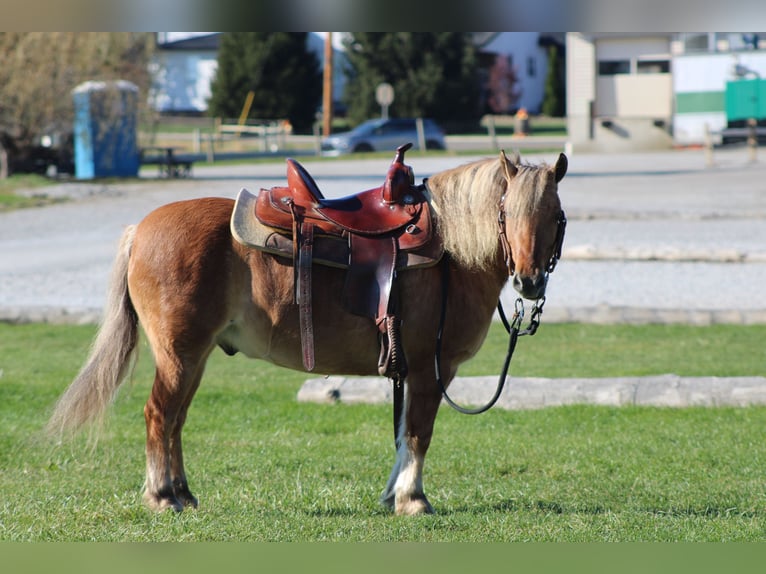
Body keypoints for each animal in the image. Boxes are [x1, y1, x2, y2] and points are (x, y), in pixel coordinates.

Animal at [47, 150, 567, 516]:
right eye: (508, 214)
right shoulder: (428, 371)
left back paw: (183, 493)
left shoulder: (413, 373)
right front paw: (413, 500)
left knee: (175, 420)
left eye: (555, 217)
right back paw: (161, 496)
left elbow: (403, 434)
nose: (529, 281)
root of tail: (140, 230)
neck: (451, 252)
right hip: (179, 355)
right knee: (159, 415)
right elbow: (419, 433)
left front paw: (392, 495)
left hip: (194, 358)